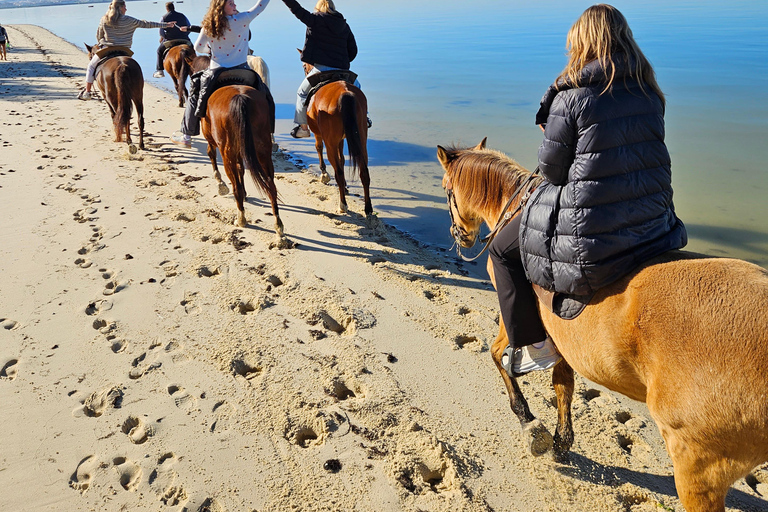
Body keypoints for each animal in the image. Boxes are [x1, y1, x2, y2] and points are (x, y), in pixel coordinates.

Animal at [300, 59, 372, 218]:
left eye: (304, 66)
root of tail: (345, 93)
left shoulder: (320, 135)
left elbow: (319, 148)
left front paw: (324, 174)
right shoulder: (341, 139)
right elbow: (342, 159)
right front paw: (345, 186)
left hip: (330, 143)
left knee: (337, 171)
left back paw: (342, 205)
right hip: (361, 139)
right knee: (364, 171)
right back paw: (368, 209)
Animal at [438, 137, 768, 512]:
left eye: (446, 188)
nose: (459, 235)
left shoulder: (514, 318)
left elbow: (499, 357)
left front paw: (530, 424)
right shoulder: (563, 341)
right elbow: (563, 385)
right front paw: (561, 442)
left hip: (698, 466)